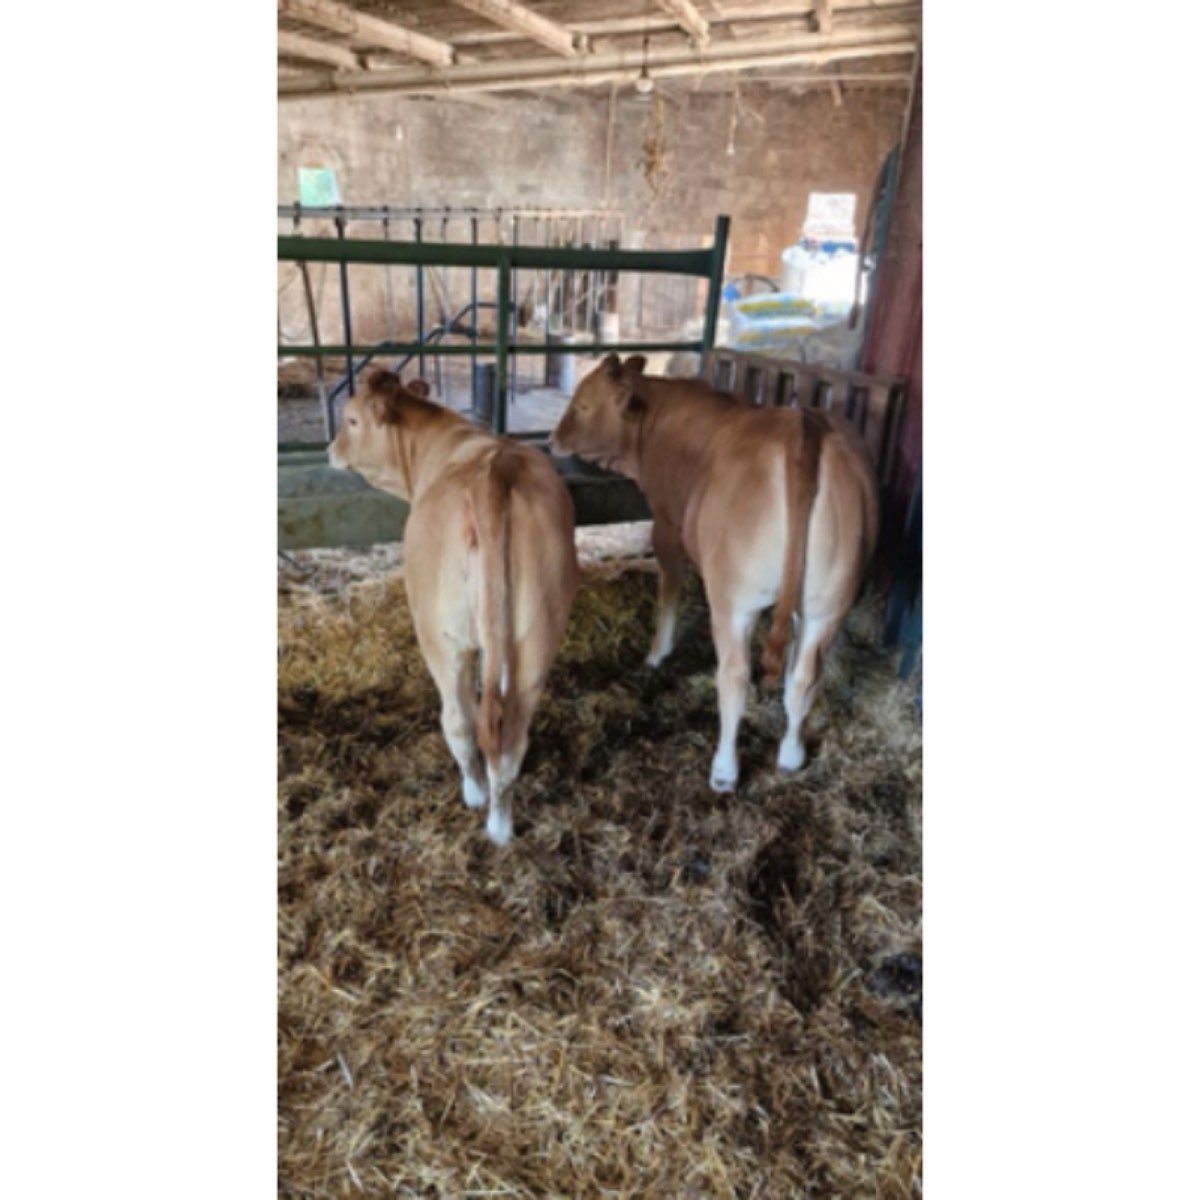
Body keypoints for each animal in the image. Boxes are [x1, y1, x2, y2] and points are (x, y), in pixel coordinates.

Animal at [328, 368, 579, 845]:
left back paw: (475, 796)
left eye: (350, 420)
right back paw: (500, 828)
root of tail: (493, 470)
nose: (330, 450)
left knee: (460, 722)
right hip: (536, 637)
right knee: (508, 737)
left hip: (442, 637)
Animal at [550, 353, 878, 793]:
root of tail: (803, 429)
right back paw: (791, 754)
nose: (553, 439)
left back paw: (724, 770)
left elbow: (670, 590)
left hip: (734, 602)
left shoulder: (666, 523)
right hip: (828, 603)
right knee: (805, 677)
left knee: (735, 678)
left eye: (583, 405)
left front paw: (657, 653)